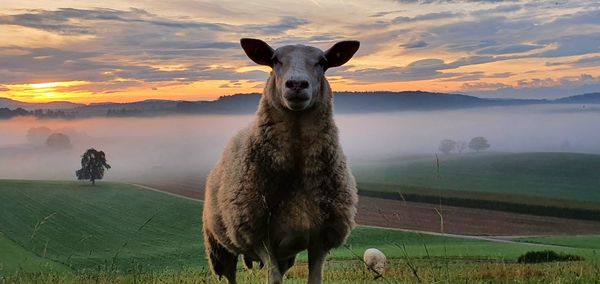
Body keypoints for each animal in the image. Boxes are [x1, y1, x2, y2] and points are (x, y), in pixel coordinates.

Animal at [202, 38, 360, 284]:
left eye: (323, 62)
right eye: (275, 60)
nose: (296, 84)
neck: (296, 166)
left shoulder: (321, 238)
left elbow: (314, 279)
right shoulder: (259, 236)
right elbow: (274, 278)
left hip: (286, 254)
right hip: (219, 246)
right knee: (230, 275)